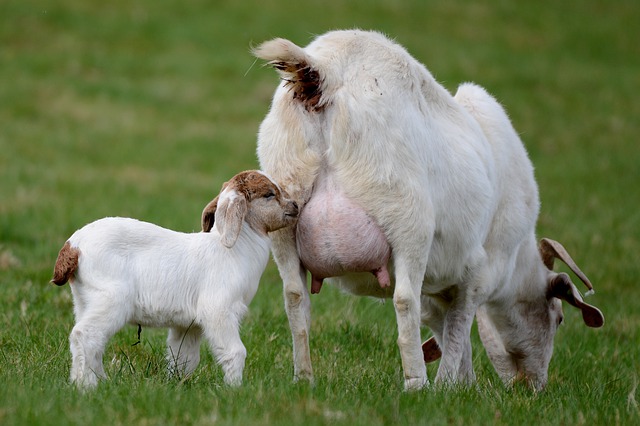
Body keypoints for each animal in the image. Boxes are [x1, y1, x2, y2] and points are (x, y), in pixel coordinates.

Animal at [52, 171, 298, 390]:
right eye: (269, 194)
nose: (295, 206)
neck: (233, 249)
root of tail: (73, 245)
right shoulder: (218, 310)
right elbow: (235, 351)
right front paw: (234, 389)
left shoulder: (188, 324)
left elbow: (183, 357)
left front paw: (178, 385)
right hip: (110, 298)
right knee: (84, 335)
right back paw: (87, 386)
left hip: (84, 300)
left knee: (91, 342)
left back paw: (92, 381)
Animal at [252, 28, 604, 392]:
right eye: (558, 318)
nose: (532, 387)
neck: (517, 261)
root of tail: (325, 73)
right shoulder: (477, 275)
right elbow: (459, 329)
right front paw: (450, 386)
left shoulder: (442, 290)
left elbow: (448, 330)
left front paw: (463, 384)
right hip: (408, 217)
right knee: (405, 299)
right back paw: (416, 383)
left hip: (284, 212)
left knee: (294, 296)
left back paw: (304, 378)